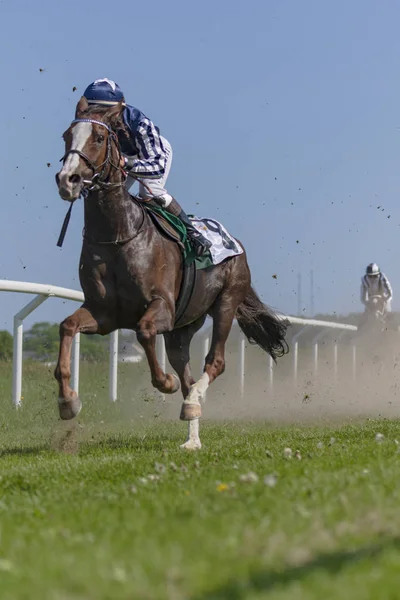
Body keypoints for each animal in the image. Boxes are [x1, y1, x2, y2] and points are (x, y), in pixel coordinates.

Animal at [54, 96, 290, 448]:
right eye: (66, 136)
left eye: (98, 137)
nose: (67, 179)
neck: (119, 234)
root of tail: (237, 244)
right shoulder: (103, 313)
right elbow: (67, 326)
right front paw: (67, 400)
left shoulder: (161, 307)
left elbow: (144, 331)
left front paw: (164, 382)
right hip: (183, 328)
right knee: (187, 373)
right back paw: (192, 433)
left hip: (225, 303)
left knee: (214, 362)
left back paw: (192, 403)